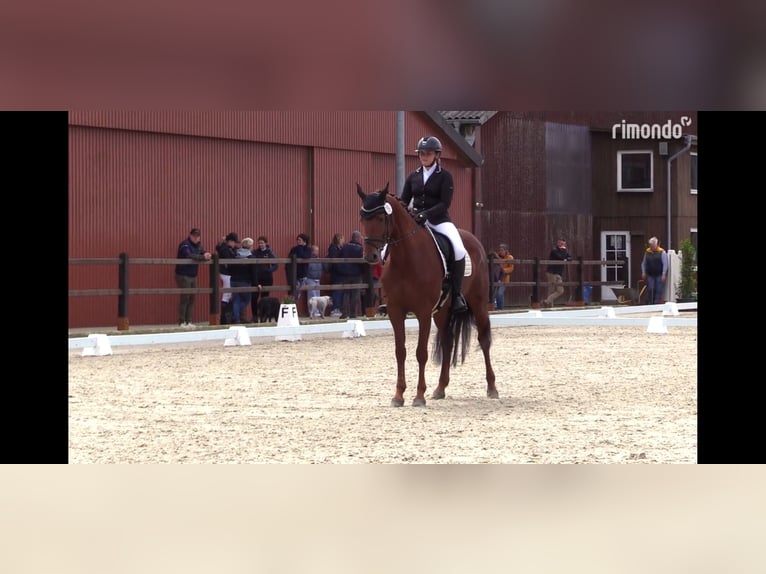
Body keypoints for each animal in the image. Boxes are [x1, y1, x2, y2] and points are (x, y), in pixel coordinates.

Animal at [356, 182, 500, 408]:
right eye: (363, 218)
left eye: (380, 218)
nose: (370, 256)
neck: (405, 258)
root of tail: (473, 240)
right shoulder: (396, 311)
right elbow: (400, 352)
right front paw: (398, 396)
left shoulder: (423, 312)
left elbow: (420, 353)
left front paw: (418, 396)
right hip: (442, 311)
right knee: (448, 341)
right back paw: (440, 389)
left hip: (478, 304)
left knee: (484, 340)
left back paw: (492, 388)